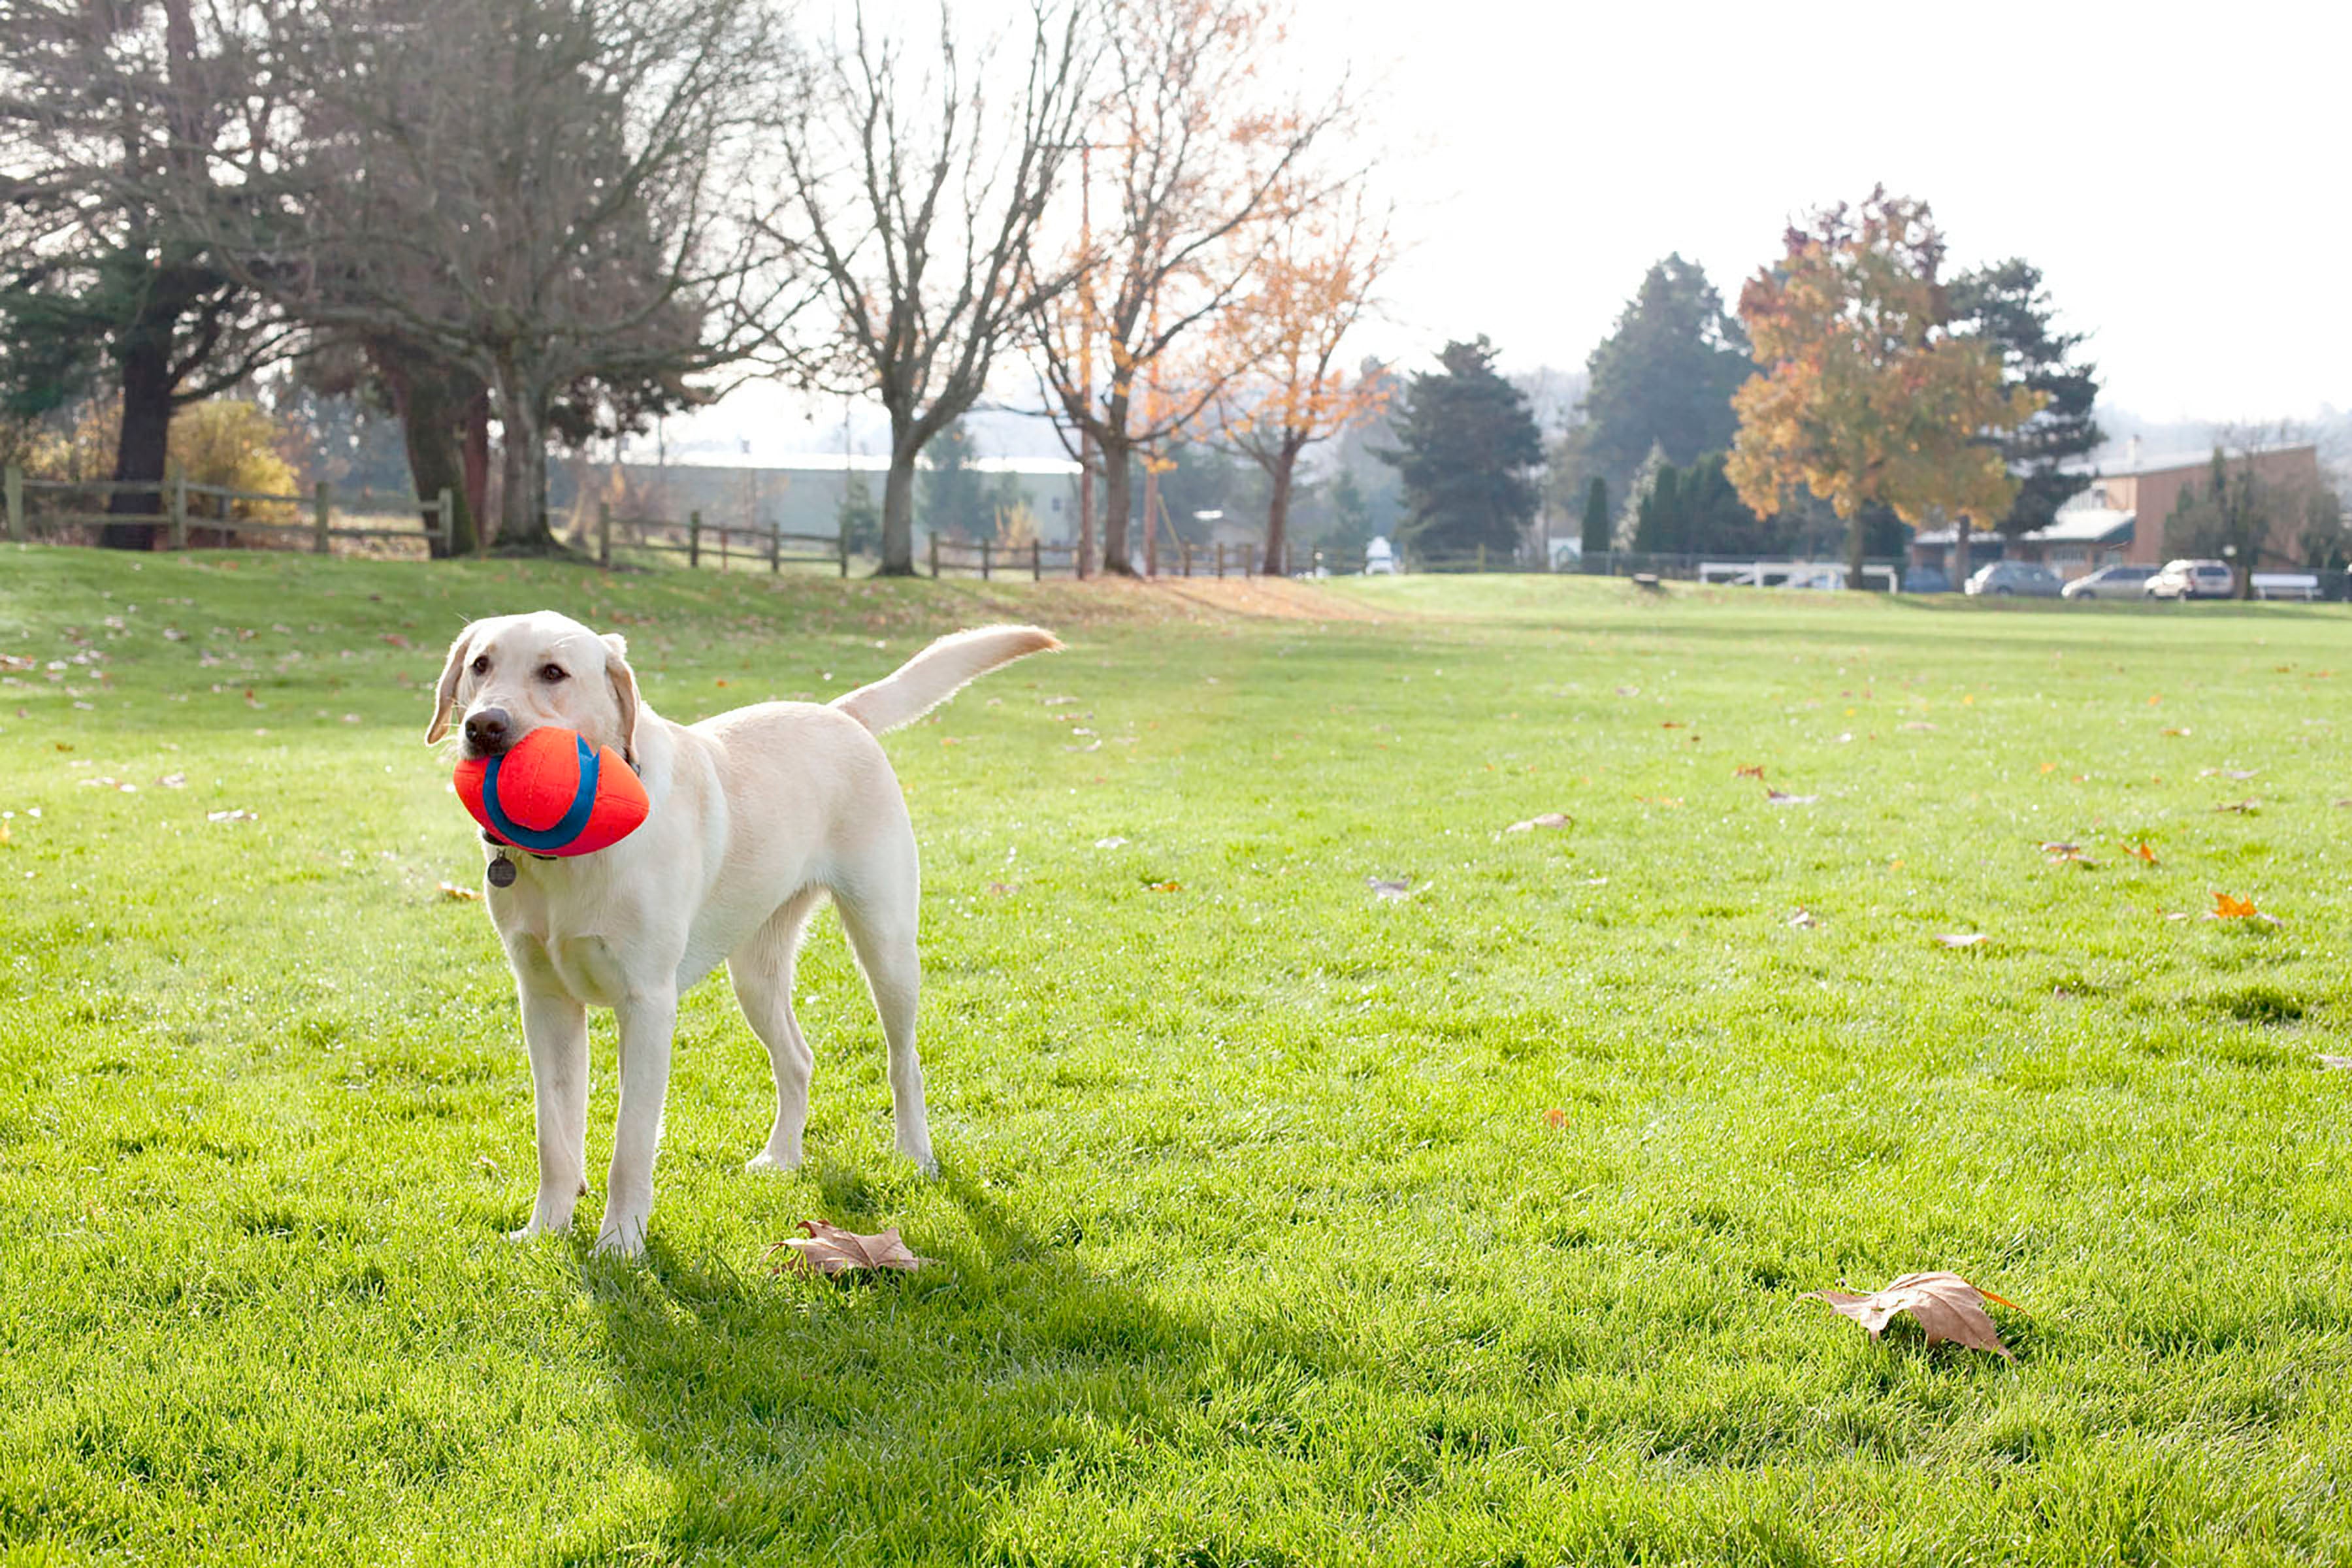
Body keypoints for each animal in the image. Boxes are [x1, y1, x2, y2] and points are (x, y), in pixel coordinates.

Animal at [423, 611, 1058, 1250]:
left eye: (553, 673)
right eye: (480, 665)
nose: (484, 727)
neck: (572, 853)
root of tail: (839, 712)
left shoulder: (647, 1006)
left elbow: (630, 1145)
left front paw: (621, 1244)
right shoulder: (544, 1002)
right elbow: (553, 1134)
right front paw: (545, 1231)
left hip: (887, 948)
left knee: (904, 1062)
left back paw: (914, 1153)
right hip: (754, 975)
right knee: (798, 1059)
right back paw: (782, 1157)